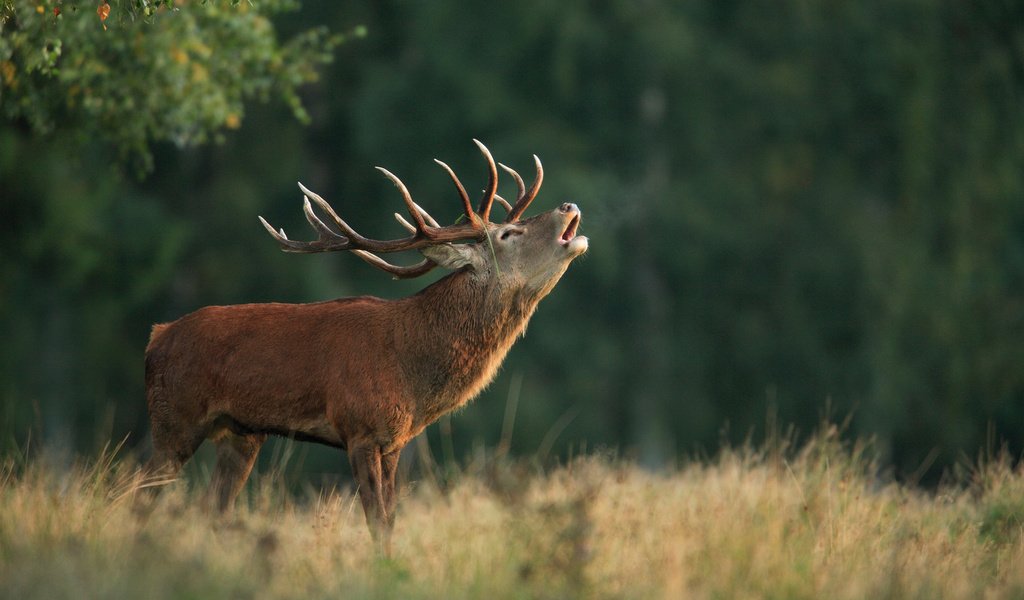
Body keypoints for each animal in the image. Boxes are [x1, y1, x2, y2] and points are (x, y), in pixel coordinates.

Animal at [145, 140, 593, 552]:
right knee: (140, 495)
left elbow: (390, 522)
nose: (569, 204)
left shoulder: (393, 442)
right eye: (508, 233)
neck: (412, 369)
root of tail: (156, 337)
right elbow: (376, 523)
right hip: (174, 419)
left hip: (240, 435)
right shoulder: (359, 427)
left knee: (212, 508)